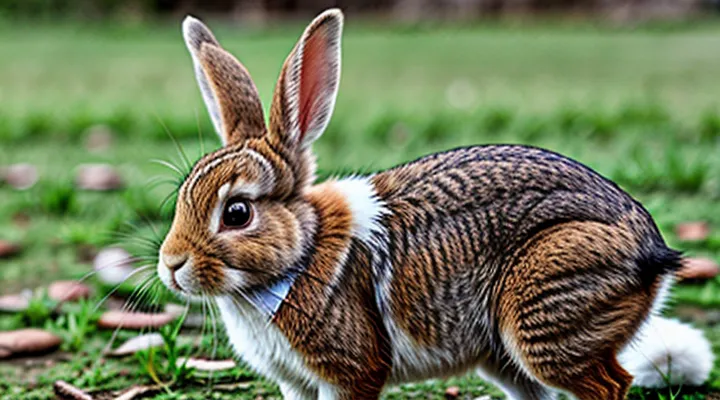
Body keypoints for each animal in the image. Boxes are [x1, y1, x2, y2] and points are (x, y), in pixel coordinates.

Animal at [157, 8, 714, 400]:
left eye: (237, 212)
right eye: (183, 196)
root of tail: (650, 250)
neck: (301, 254)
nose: (171, 266)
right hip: (505, 354)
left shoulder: (349, 373)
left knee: (610, 384)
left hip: (549, 314)